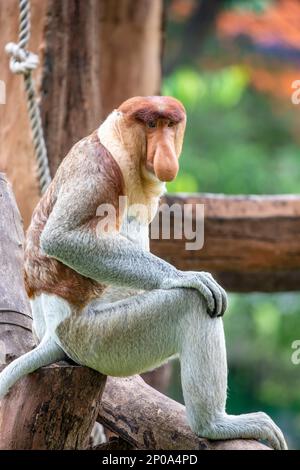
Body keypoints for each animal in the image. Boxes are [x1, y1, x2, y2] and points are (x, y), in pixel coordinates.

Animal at [0, 94, 286, 448]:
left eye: (170, 125)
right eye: (151, 124)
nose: (164, 151)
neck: (120, 146)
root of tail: (51, 334)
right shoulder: (97, 168)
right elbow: (61, 237)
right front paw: (186, 276)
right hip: (95, 338)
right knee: (189, 305)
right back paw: (214, 425)